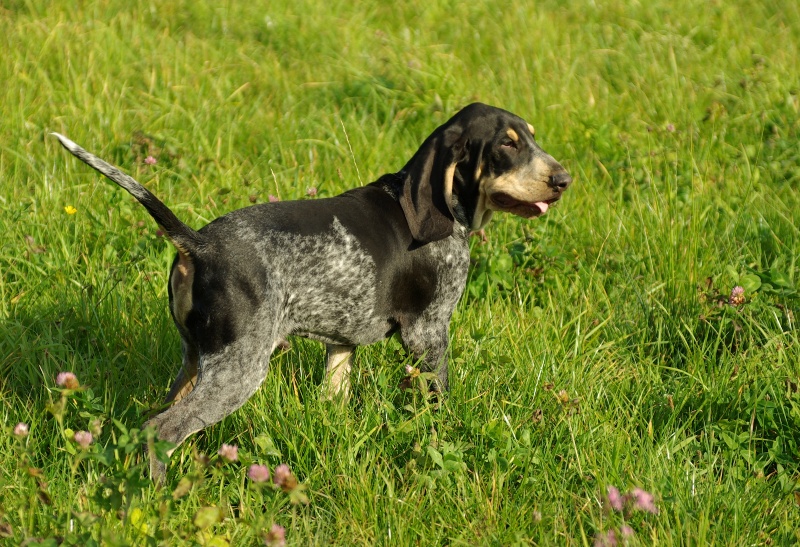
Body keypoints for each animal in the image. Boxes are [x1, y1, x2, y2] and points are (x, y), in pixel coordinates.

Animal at [53, 101, 572, 480]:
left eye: (532, 136)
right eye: (507, 145)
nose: (564, 179)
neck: (441, 211)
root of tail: (198, 243)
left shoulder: (342, 341)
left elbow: (335, 393)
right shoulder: (429, 332)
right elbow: (438, 400)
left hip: (194, 360)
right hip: (239, 368)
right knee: (160, 429)